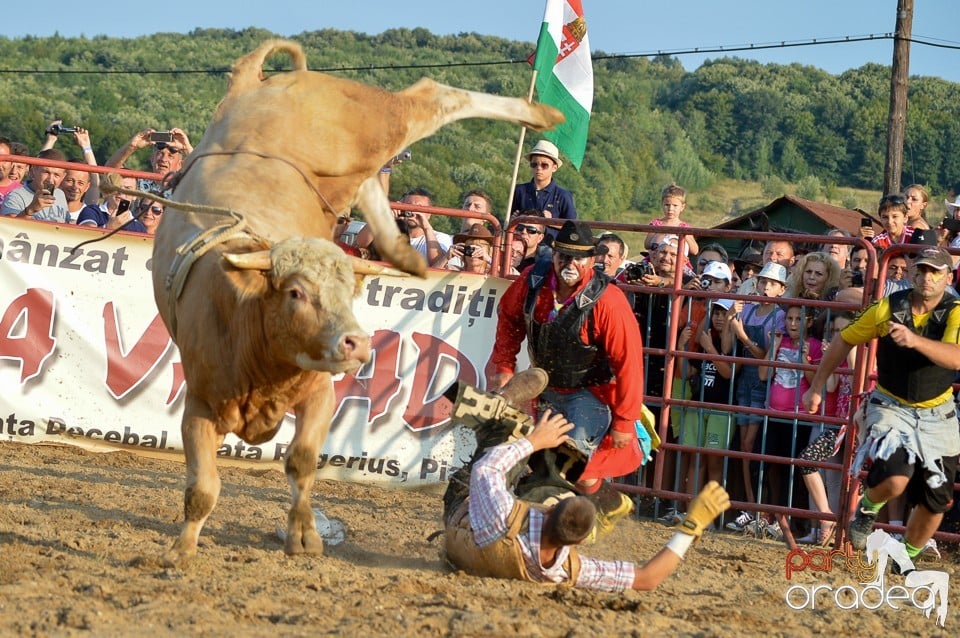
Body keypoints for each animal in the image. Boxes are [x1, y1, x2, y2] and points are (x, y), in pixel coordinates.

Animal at [150, 37, 564, 568]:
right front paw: (180, 550)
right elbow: (202, 487)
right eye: (296, 292)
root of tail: (252, 87)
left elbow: (302, 463)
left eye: (347, 292)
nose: (356, 344)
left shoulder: (320, 393)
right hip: (350, 165)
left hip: (369, 126)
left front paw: (303, 536)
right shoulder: (199, 406)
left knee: (430, 96)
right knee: (380, 167)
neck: (249, 320)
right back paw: (402, 251)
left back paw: (543, 113)